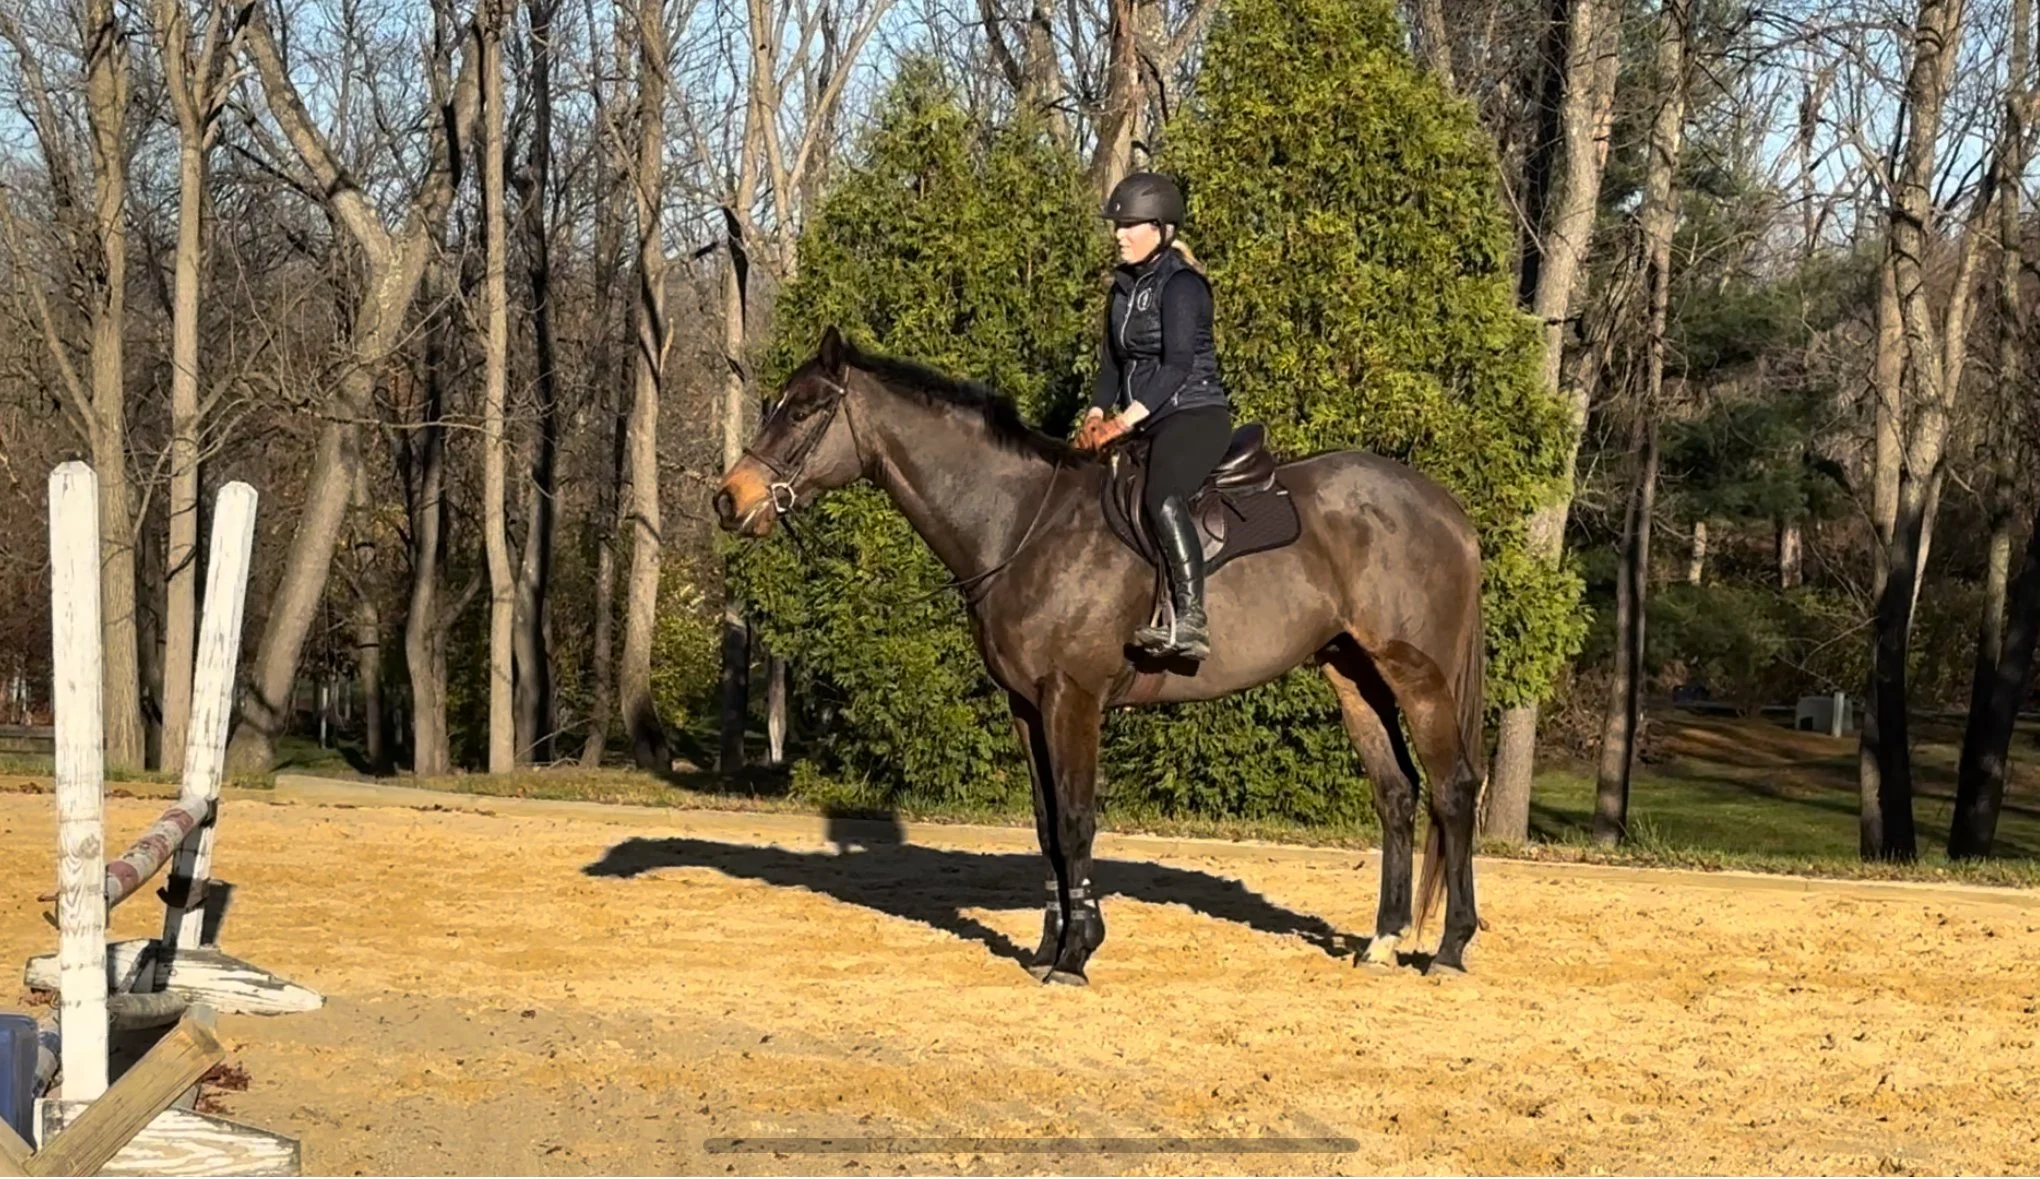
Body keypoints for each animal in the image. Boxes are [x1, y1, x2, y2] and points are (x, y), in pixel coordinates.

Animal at [714, 326, 1487, 984]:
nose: (729, 499)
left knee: (1453, 791)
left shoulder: (1073, 697)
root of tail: (1446, 509)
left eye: (803, 410)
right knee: (1396, 793)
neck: (1022, 524)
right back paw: (1383, 941)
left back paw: (1450, 948)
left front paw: (1076, 954)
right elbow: (1048, 826)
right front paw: (1048, 944)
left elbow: (1078, 818)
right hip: (1354, 673)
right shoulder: (1026, 704)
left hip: (1419, 676)